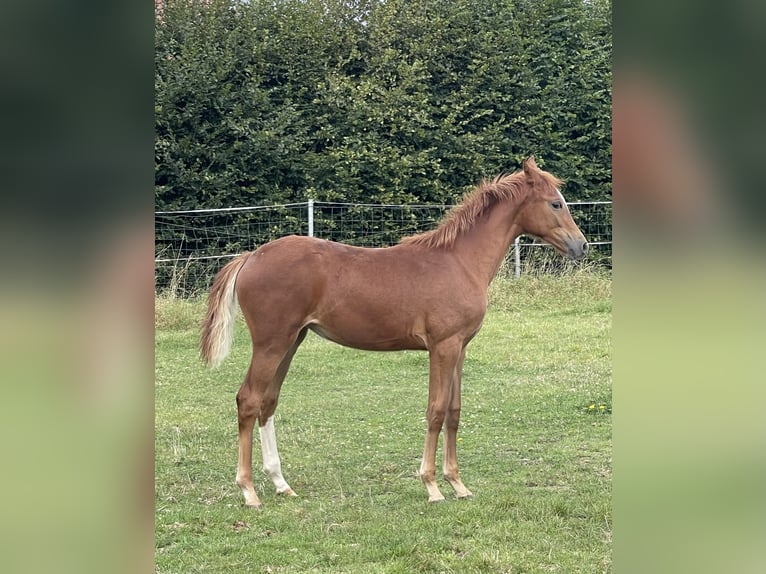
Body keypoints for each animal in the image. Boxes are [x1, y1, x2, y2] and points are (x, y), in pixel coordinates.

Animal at [201, 156, 592, 508]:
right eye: (555, 203)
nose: (582, 245)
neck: (459, 261)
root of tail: (251, 256)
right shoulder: (442, 347)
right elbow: (435, 411)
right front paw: (432, 486)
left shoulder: (460, 348)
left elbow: (454, 412)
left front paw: (458, 484)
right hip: (271, 343)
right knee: (248, 400)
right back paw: (249, 492)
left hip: (291, 341)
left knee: (267, 402)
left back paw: (281, 484)